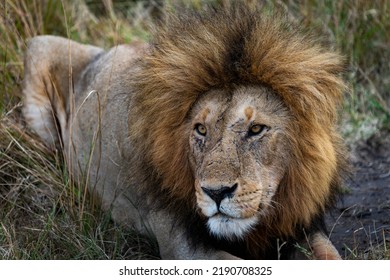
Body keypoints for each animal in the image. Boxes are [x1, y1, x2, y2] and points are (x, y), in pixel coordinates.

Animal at [22, 5, 348, 260]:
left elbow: (332, 257)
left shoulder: (300, 225)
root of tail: (106, 49)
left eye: (256, 129)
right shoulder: (182, 246)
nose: (216, 192)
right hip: (38, 49)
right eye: (200, 130)